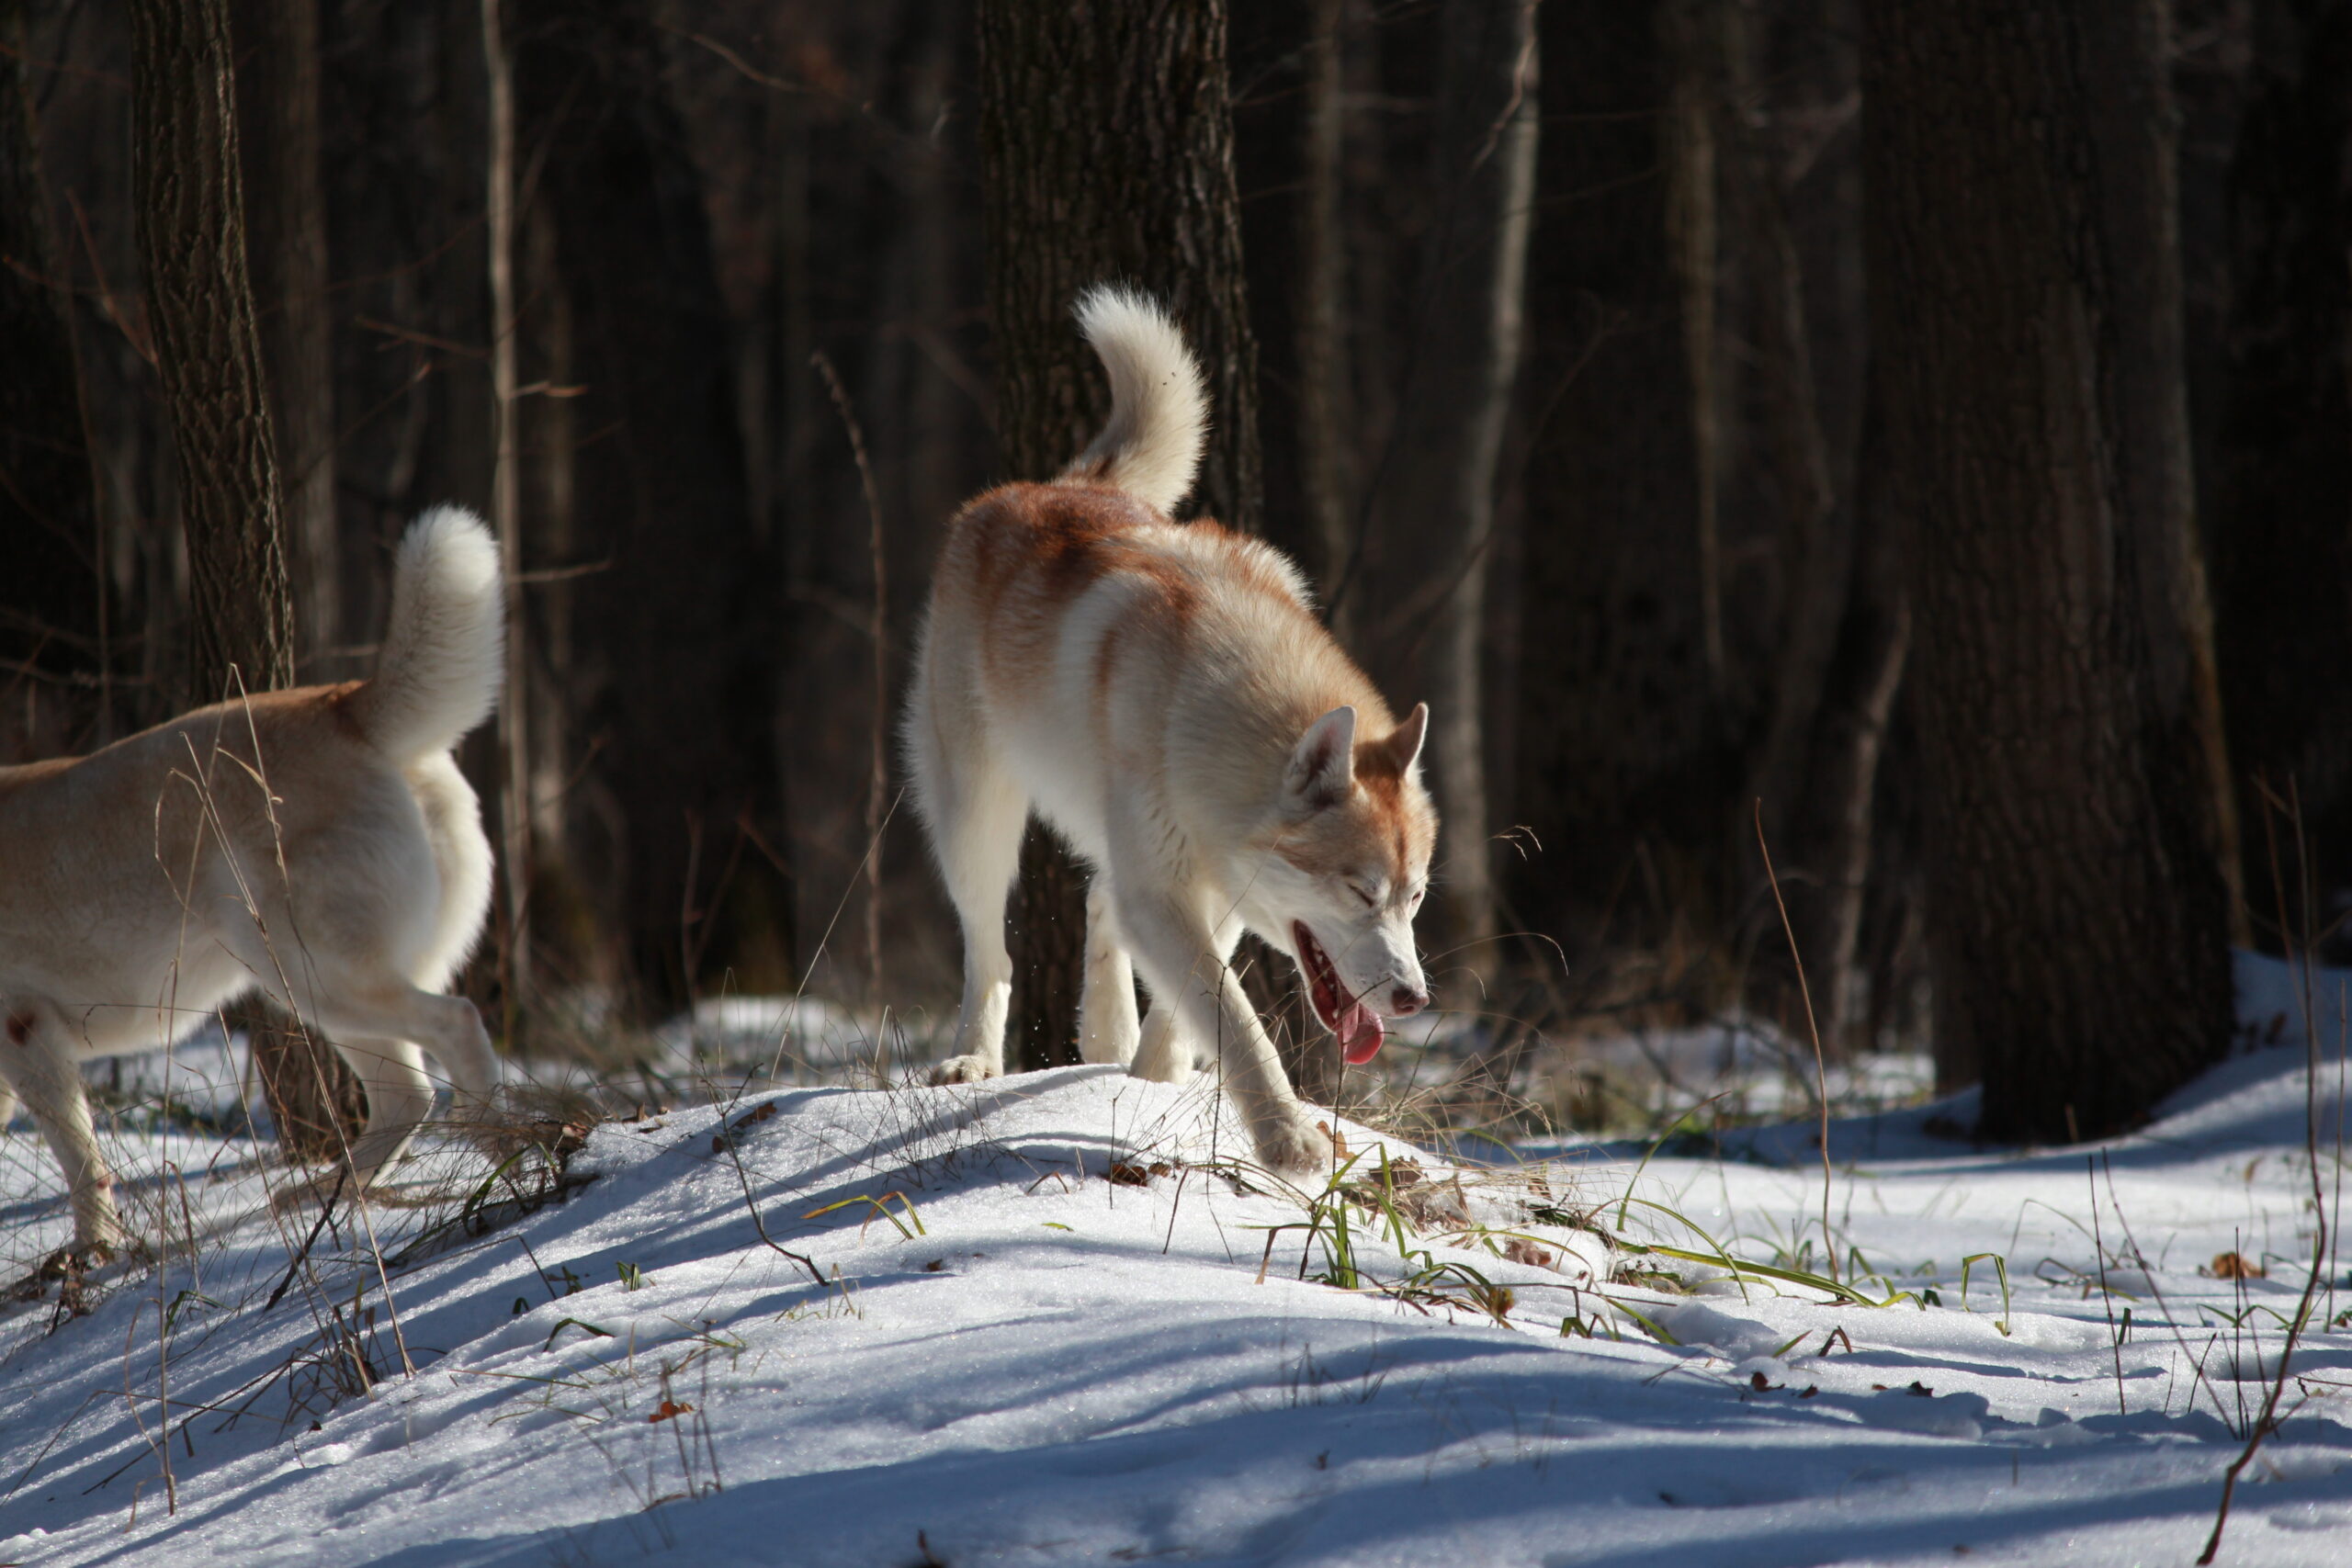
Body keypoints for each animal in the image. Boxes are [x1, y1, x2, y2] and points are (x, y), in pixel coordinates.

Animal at [0, 508, 506, 1257]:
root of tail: (346, 706)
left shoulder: (25, 1033)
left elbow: (81, 1165)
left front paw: (93, 1252)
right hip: (312, 991)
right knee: (406, 1093)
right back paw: (326, 1195)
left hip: (312, 974)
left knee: (457, 1028)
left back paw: (496, 1141)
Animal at [905, 286, 1436, 1173]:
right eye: (1362, 892)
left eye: (1415, 895)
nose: (1413, 998)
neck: (1209, 703)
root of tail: (1050, 484)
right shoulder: (1167, 885)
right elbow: (1239, 1020)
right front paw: (1289, 1137)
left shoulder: (1208, 885)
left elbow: (1197, 998)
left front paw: (1156, 1077)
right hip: (974, 814)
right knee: (991, 946)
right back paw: (972, 1057)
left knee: (1097, 897)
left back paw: (1105, 1036)